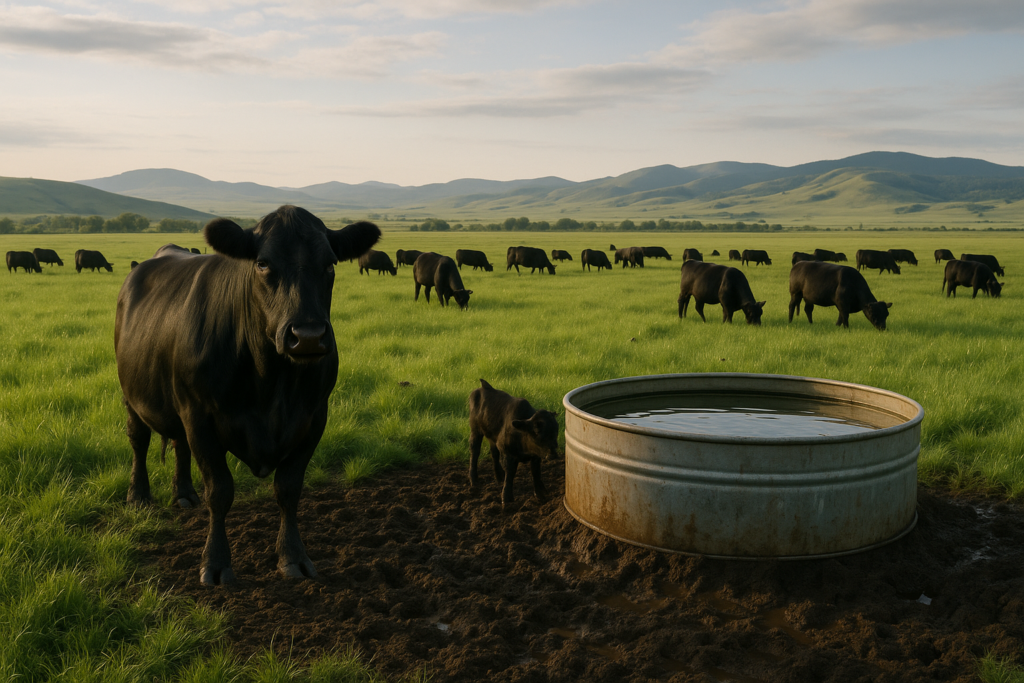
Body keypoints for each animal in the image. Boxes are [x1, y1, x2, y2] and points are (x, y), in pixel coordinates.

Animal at [115, 206, 380, 585]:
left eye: (330, 264)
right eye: (263, 263)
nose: (308, 336)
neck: (272, 381)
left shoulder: (314, 418)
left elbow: (288, 489)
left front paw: (293, 557)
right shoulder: (200, 417)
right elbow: (220, 491)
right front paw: (215, 563)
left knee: (179, 444)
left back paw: (184, 494)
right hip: (132, 394)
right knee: (138, 439)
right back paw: (138, 496)